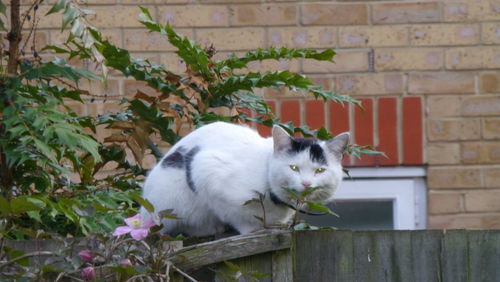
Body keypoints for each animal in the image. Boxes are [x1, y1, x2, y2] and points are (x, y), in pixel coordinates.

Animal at [139, 121, 350, 236]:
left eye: (320, 170)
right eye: (294, 168)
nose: (306, 183)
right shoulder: (205, 168)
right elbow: (235, 214)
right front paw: (252, 230)